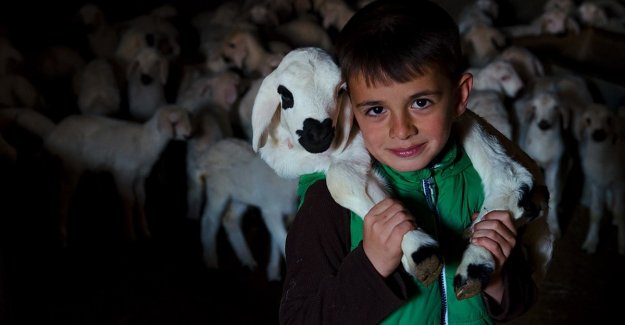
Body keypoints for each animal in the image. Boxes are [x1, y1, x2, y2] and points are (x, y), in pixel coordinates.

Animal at [0, 105, 193, 242]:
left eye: (188, 119)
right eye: (175, 122)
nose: (190, 135)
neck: (146, 141)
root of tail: (55, 131)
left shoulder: (140, 177)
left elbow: (141, 200)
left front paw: (145, 230)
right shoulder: (123, 174)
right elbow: (128, 201)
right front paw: (130, 233)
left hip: (54, 165)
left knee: (53, 189)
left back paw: (53, 216)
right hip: (71, 166)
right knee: (64, 194)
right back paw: (62, 231)